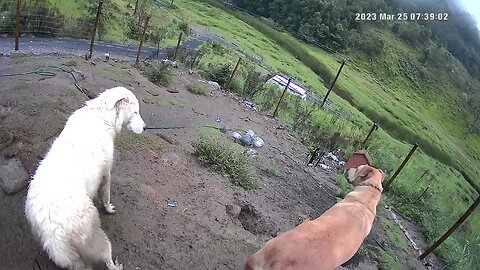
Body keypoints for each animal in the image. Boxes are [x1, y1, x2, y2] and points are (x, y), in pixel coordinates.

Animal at [25, 87, 144, 270]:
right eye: (136, 111)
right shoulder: (106, 173)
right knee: (107, 261)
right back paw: (116, 265)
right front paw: (109, 209)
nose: (145, 127)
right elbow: (106, 196)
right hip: (98, 240)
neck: (101, 115)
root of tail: (50, 228)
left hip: (73, 259)